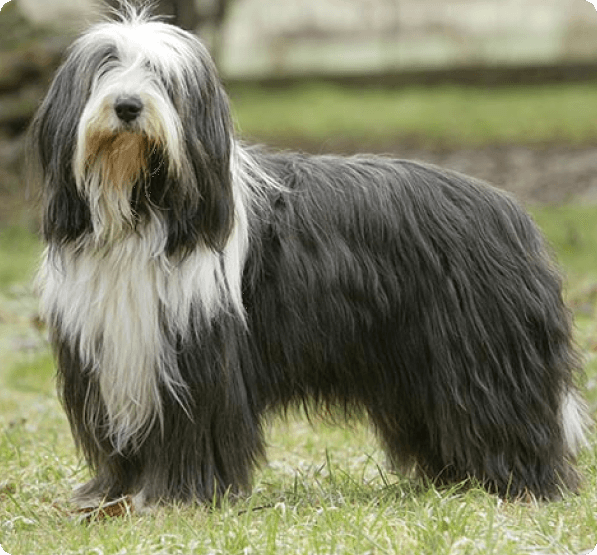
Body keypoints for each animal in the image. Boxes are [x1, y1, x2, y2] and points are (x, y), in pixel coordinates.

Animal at [31, 3, 588, 508]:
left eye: (163, 79)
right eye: (105, 67)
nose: (127, 105)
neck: (141, 210)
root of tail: (509, 209)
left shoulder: (197, 355)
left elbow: (193, 431)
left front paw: (177, 497)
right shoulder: (114, 354)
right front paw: (112, 495)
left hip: (482, 355)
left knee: (506, 416)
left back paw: (519, 483)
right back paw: (457, 480)